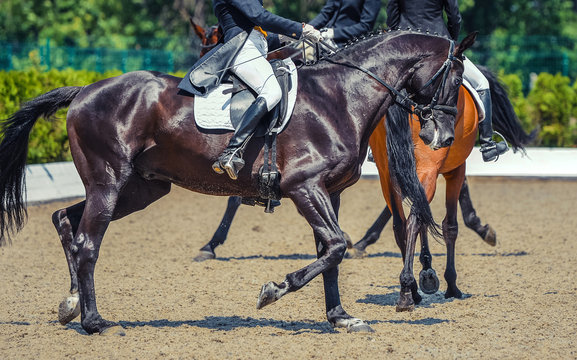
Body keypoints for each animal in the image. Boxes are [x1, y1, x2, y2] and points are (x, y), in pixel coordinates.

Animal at [0, 31, 472, 334]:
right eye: (453, 78)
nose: (444, 138)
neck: (340, 96)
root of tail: (84, 90)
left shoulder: (329, 192)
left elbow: (331, 252)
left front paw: (339, 316)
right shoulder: (304, 187)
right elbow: (336, 246)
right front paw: (275, 289)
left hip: (139, 188)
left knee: (66, 220)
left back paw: (70, 304)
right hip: (109, 182)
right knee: (87, 242)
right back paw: (93, 321)